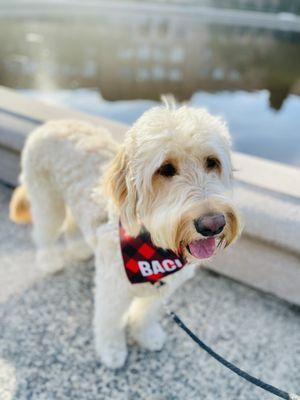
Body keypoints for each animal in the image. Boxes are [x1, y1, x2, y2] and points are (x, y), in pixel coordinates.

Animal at [9, 100, 241, 368]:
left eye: (212, 162)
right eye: (166, 169)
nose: (212, 224)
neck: (153, 247)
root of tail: (52, 122)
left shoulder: (162, 289)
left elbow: (146, 313)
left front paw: (146, 335)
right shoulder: (113, 288)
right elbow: (109, 321)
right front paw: (112, 350)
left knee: (73, 224)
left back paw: (79, 250)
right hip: (47, 197)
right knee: (45, 229)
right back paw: (49, 260)